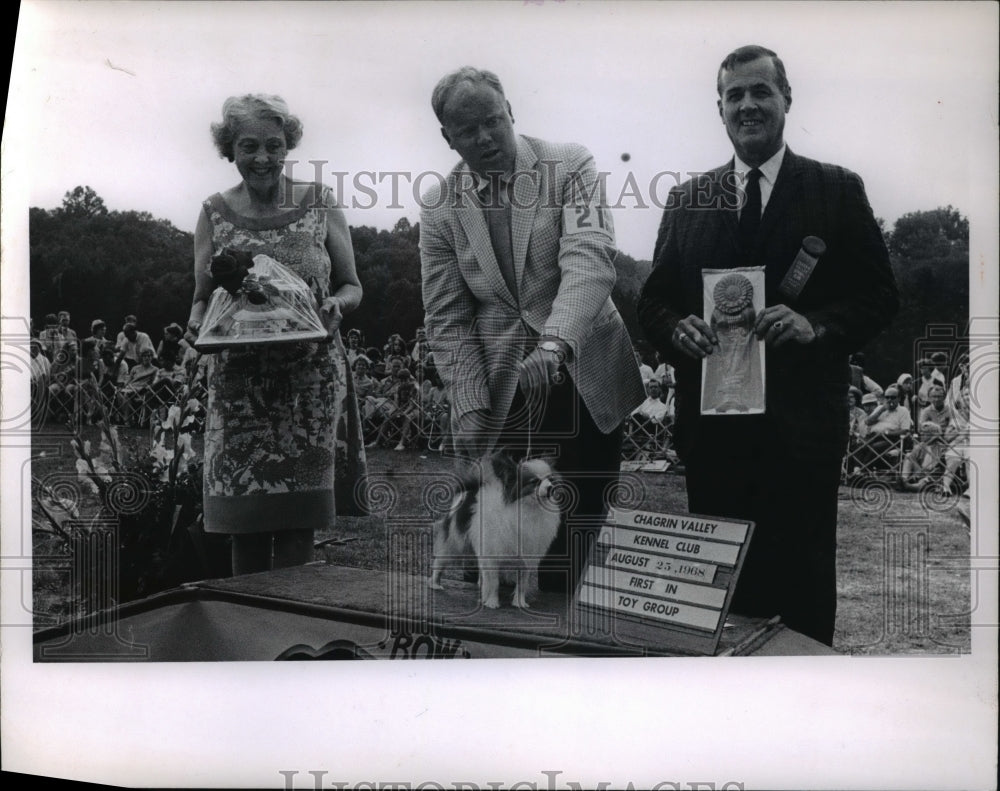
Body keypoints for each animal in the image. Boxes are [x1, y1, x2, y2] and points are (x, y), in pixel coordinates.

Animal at [430, 448, 564, 608]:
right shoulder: (492, 555)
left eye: (550, 480)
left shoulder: (525, 558)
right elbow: (494, 582)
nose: (551, 487)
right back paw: (435, 584)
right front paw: (492, 602)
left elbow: (522, 584)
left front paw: (519, 603)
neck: (530, 509)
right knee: (440, 562)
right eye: (534, 482)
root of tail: (472, 490)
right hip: (455, 543)